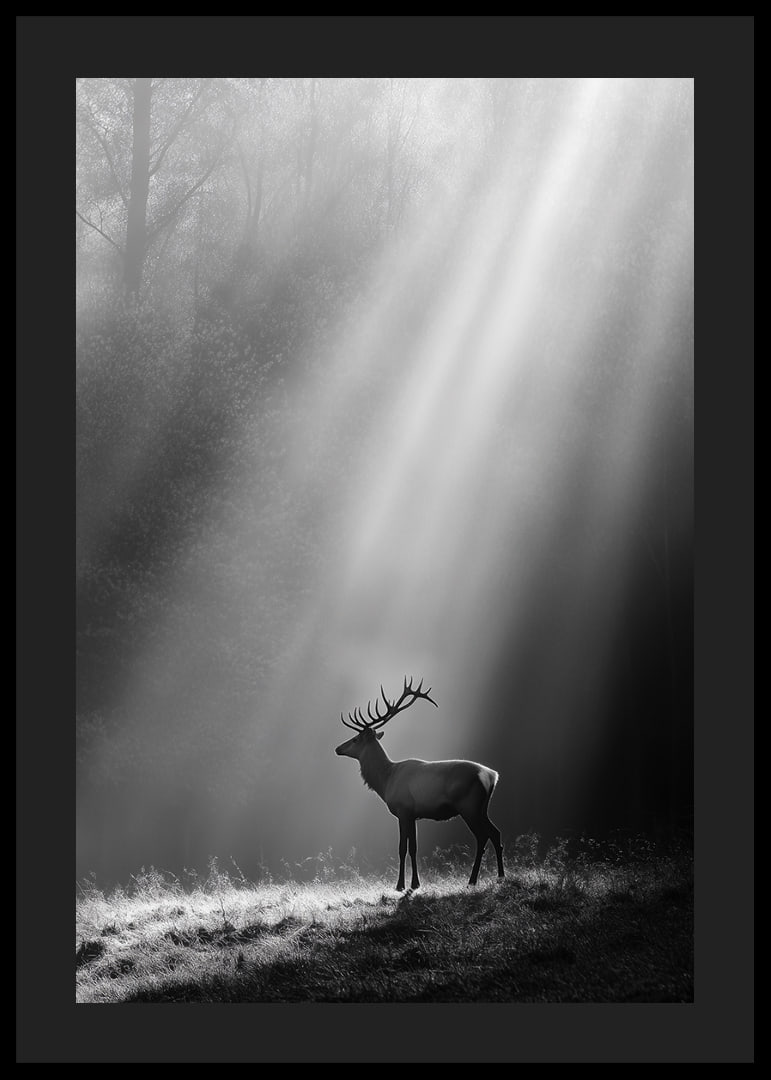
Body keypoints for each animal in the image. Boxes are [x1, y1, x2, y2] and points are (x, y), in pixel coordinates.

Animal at [335, 677, 504, 891]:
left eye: (355, 739)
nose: (337, 748)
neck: (386, 780)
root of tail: (492, 775)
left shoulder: (403, 810)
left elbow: (402, 848)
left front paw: (401, 885)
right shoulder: (414, 814)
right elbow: (414, 848)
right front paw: (415, 884)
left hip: (469, 806)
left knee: (482, 837)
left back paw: (472, 881)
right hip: (482, 808)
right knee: (496, 833)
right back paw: (500, 877)